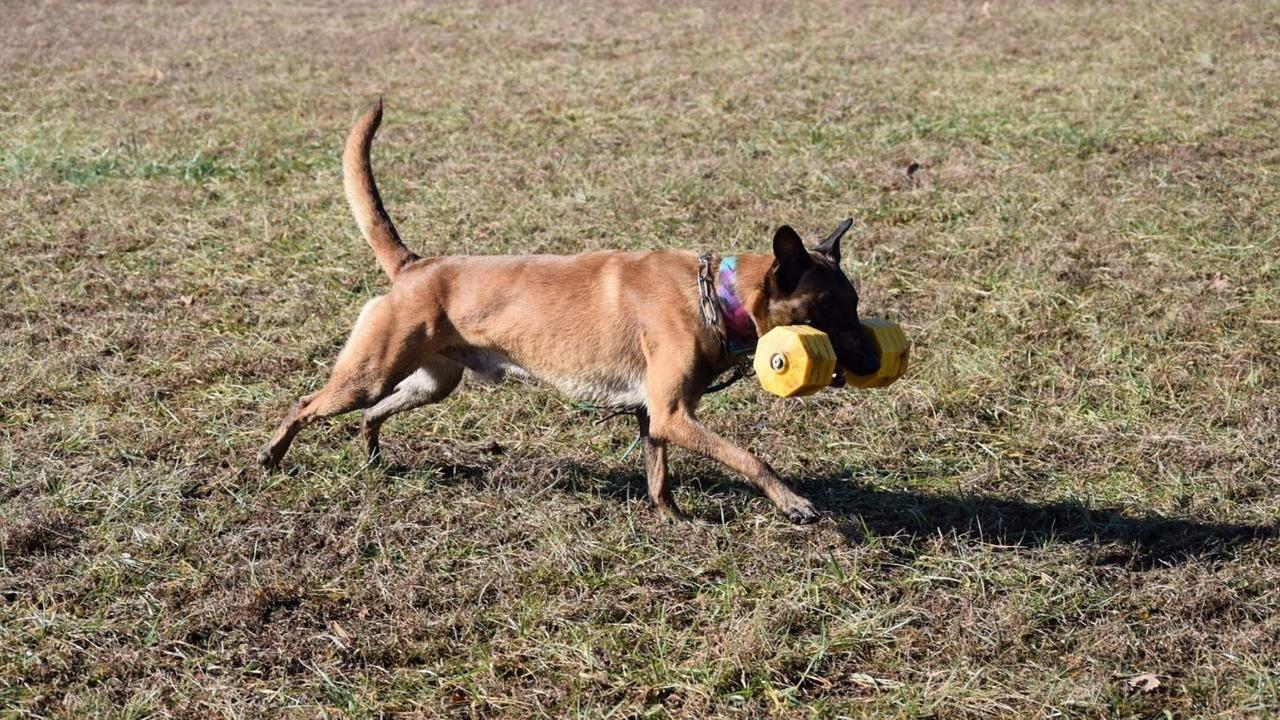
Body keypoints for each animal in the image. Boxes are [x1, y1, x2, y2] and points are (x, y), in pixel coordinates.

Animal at [259, 100, 881, 523]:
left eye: (854, 305)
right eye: (830, 310)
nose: (878, 361)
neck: (716, 293)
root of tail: (416, 266)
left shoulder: (654, 415)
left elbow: (659, 475)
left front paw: (672, 519)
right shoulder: (674, 414)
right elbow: (750, 458)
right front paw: (792, 501)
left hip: (431, 382)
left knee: (373, 413)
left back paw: (369, 454)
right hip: (369, 371)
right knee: (307, 404)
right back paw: (271, 455)